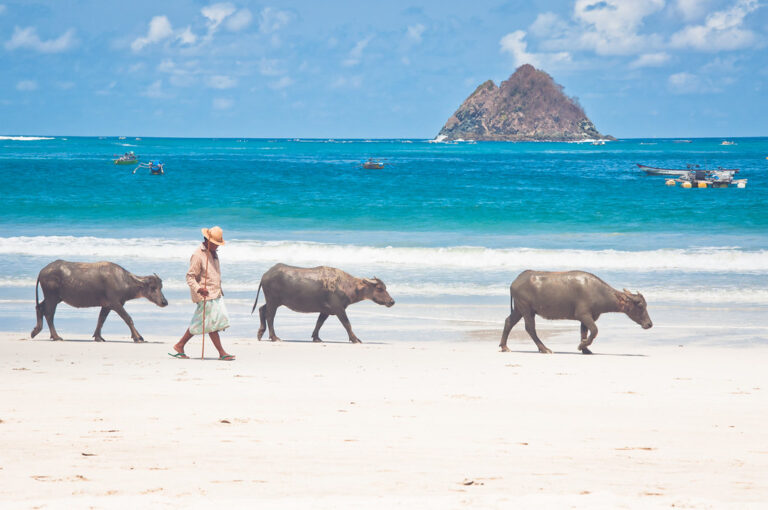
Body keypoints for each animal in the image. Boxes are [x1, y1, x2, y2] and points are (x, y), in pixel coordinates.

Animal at [31, 260, 168, 340]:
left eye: (161, 287)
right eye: (153, 287)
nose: (164, 302)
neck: (123, 280)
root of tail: (42, 271)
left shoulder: (107, 305)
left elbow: (101, 319)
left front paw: (98, 337)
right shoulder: (115, 303)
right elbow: (128, 318)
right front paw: (137, 337)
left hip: (55, 298)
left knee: (40, 307)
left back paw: (36, 331)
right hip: (52, 297)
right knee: (49, 313)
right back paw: (56, 336)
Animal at [252, 262, 396, 342]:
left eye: (385, 287)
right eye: (379, 288)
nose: (392, 301)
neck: (346, 285)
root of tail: (265, 274)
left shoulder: (326, 311)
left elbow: (319, 323)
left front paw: (316, 338)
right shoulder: (339, 309)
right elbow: (347, 324)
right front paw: (355, 339)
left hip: (274, 302)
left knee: (261, 309)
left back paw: (260, 333)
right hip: (273, 301)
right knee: (270, 316)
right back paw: (274, 337)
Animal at [498, 270, 656, 354]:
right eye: (640, 305)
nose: (649, 324)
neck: (598, 292)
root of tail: (516, 280)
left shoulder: (587, 318)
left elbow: (585, 332)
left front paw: (585, 349)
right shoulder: (583, 315)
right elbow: (595, 330)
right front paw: (582, 346)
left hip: (519, 309)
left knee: (509, 322)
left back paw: (505, 347)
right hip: (526, 309)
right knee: (530, 328)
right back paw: (544, 349)